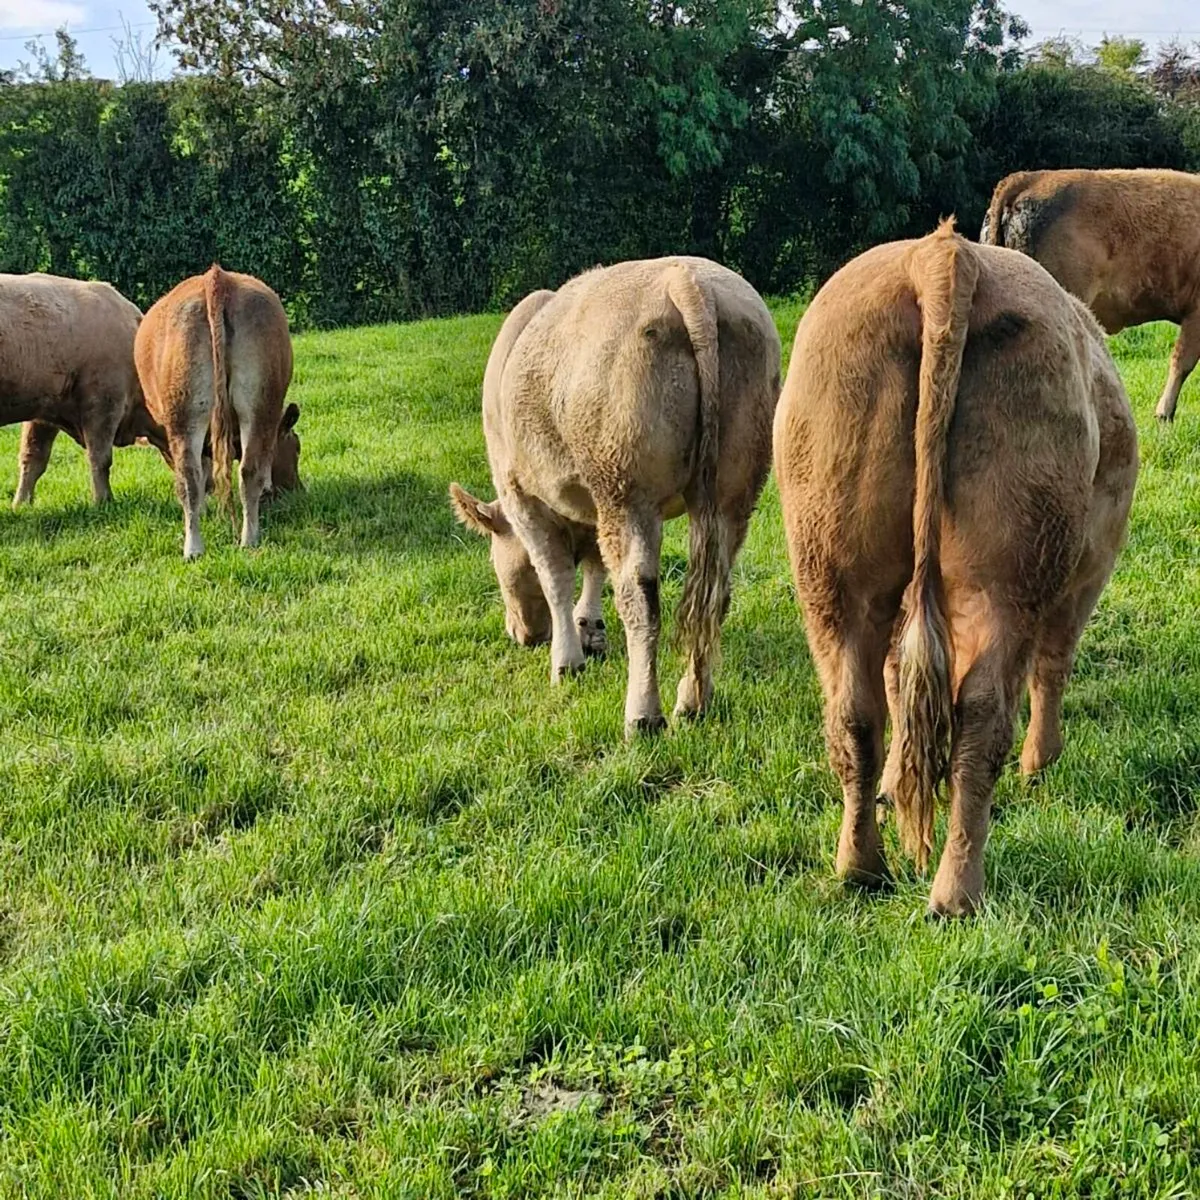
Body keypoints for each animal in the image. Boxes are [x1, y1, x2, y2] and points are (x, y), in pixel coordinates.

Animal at [1, 272, 165, 507]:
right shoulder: (104, 403)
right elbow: (101, 458)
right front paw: (103, 501)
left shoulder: (44, 410)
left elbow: (33, 457)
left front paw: (20, 504)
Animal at [135, 266, 301, 559]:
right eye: (297, 447)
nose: (300, 490)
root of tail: (218, 279)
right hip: (256, 406)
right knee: (245, 471)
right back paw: (243, 540)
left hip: (187, 414)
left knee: (190, 477)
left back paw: (197, 546)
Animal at [450, 256, 782, 738]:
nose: (523, 635)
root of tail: (687, 280)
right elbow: (593, 565)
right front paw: (589, 629)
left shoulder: (522, 497)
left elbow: (555, 577)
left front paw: (567, 660)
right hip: (733, 490)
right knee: (714, 591)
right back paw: (693, 701)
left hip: (626, 490)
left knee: (639, 599)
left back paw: (643, 716)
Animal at [775, 222, 1137, 916]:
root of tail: (940, 252)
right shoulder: (1087, 572)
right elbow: (1054, 664)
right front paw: (1043, 761)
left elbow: (896, 685)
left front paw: (897, 784)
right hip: (1012, 576)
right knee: (984, 715)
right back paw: (957, 892)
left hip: (832, 567)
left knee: (856, 712)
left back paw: (861, 866)